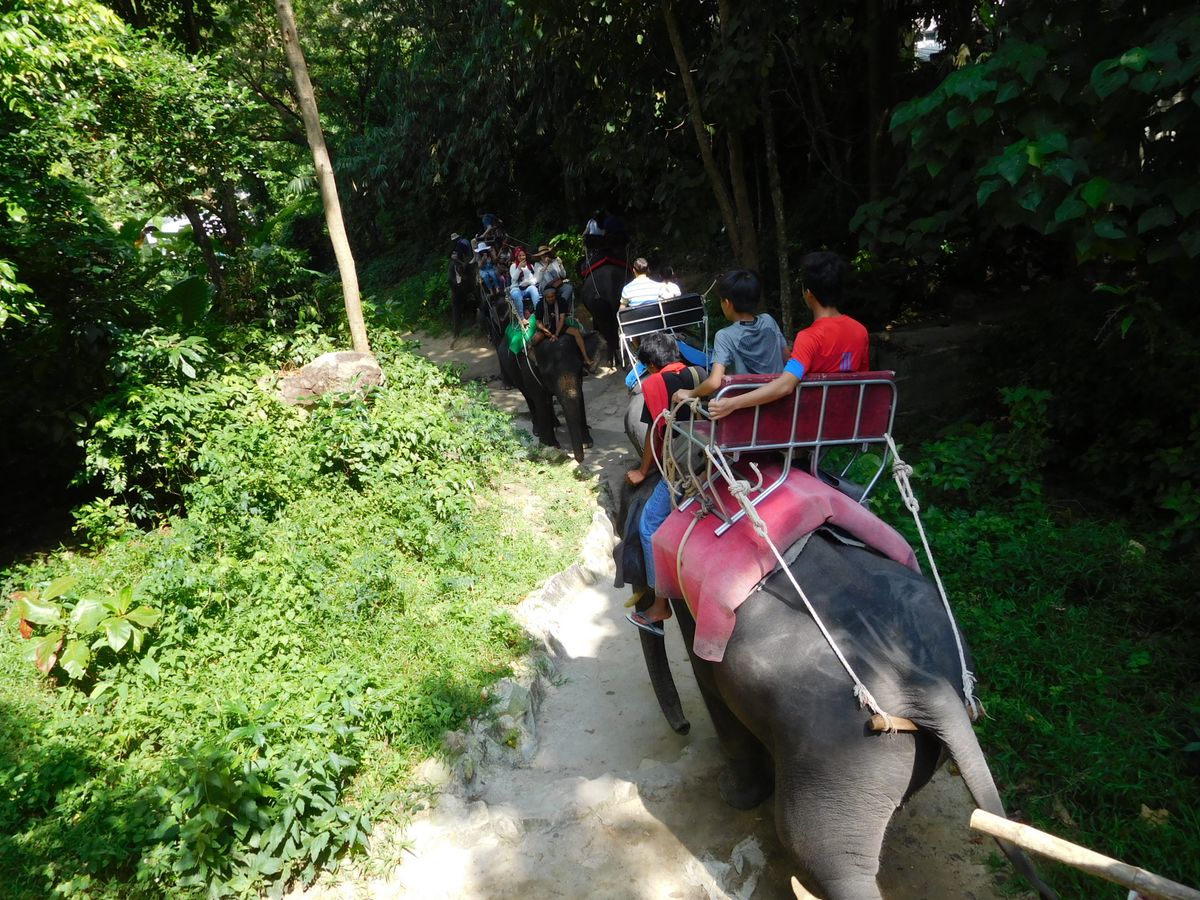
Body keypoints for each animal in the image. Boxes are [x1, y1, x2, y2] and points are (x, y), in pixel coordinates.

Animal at [499, 330, 600, 463]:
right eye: (548, 374)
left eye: (580, 369)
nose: (579, 460)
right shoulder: (529, 370)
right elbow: (540, 399)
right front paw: (551, 446)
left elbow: (579, 395)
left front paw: (587, 443)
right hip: (515, 375)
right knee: (529, 397)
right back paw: (537, 431)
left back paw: (556, 424)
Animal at [617, 478, 1056, 900]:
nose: (682, 728)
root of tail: (928, 685)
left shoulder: (698, 624)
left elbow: (717, 700)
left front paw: (731, 795)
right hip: (888, 757)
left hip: (842, 757)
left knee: (820, 851)